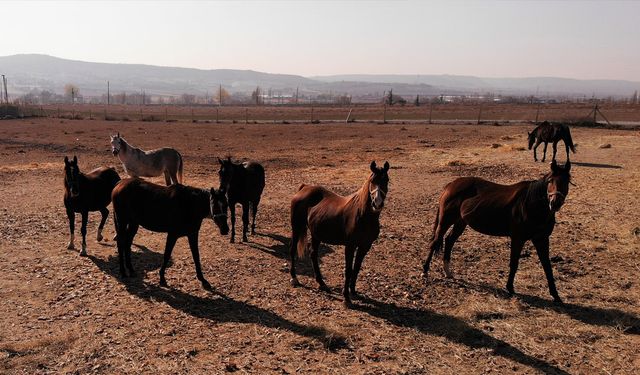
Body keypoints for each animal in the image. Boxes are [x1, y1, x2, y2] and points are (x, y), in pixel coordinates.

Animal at [290, 162, 390, 308]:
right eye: (372, 181)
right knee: (292, 250)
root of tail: (304, 188)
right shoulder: (350, 246)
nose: (377, 203)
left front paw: (353, 292)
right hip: (297, 228)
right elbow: (348, 270)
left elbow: (356, 268)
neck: (363, 216)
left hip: (316, 234)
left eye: (386, 180)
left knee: (313, 254)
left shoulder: (365, 246)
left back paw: (321, 283)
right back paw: (294, 278)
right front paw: (346, 298)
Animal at [422, 160, 572, 304]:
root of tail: (451, 185)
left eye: (566, 181)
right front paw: (510, 288)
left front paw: (556, 296)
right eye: (550, 181)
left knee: (449, 241)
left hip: (461, 222)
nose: (555, 203)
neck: (530, 204)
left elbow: (547, 266)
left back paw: (447, 272)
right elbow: (514, 263)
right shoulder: (518, 238)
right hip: (446, 221)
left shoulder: (541, 239)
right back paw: (425, 271)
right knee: (435, 242)